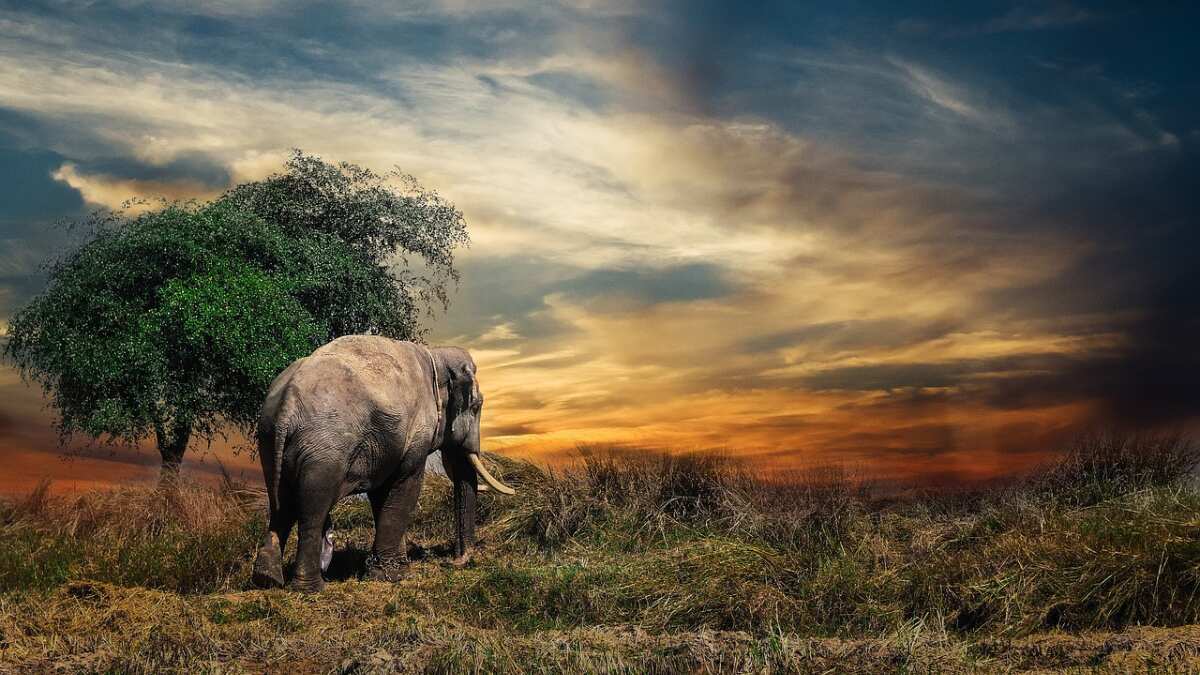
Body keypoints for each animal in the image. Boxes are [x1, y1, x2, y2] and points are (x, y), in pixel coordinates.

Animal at [251, 335, 515, 592]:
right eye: (477, 406)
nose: (454, 561)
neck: (436, 355)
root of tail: (287, 403)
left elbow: (382, 494)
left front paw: (392, 569)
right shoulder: (415, 433)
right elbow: (406, 485)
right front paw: (393, 576)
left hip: (269, 440)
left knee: (281, 504)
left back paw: (267, 579)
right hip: (323, 449)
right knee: (312, 509)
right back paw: (310, 588)